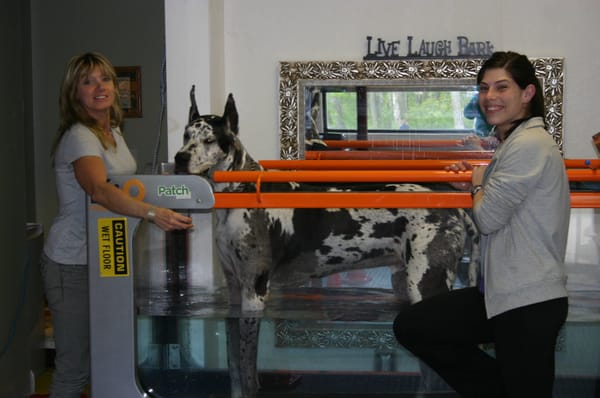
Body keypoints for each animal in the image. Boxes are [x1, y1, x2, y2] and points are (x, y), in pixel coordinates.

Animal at [173, 88, 478, 398]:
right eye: (186, 135)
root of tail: (453, 205)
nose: (179, 158)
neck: (240, 190)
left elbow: (248, 371)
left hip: (426, 287)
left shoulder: (254, 294)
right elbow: (234, 365)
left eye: (209, 139)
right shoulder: (235, 294)